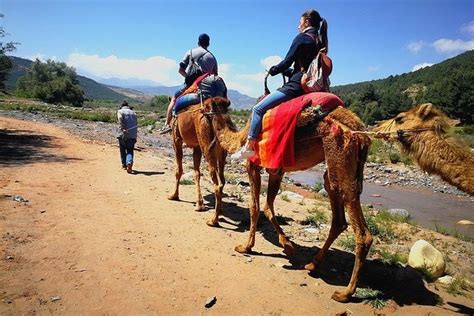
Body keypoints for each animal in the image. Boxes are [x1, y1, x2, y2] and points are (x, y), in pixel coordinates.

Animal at [204, 95, 374, 302]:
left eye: (205, 104)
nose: (200, 110)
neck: (240, 138)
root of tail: (363, 135)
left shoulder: (252, 165)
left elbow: (255, 206)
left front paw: (246, 247)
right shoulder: (277, 170)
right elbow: (268, 207)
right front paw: (288, 245)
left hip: (340, 157)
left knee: (361, 231)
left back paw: (345, 292)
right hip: (339, 171)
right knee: (338, 217)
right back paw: (312, 264)